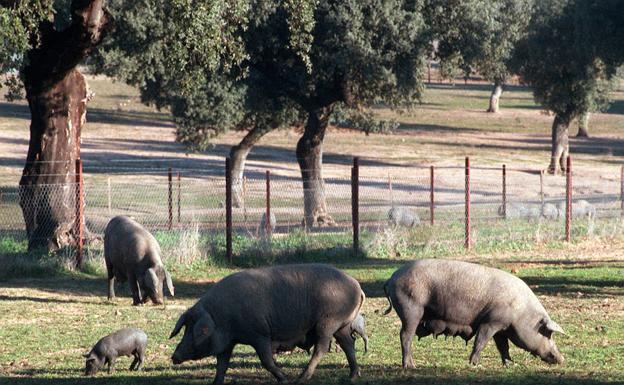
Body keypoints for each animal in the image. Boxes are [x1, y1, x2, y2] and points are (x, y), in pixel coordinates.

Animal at [171, 264, 366, 384]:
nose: (174, 357)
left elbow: (266, 361)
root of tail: (356, 285)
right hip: (341, 326)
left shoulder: (260, 334)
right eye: (185, 329)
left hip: (328, 322)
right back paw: (352, 377)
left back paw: (300, 379)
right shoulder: (228, 342)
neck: (221, 317)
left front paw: (284, 380)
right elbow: (221, 365)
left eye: (194, 331)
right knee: (349, 344)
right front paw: (215, 383)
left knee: (322, 348)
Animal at [382, 258, 568, 366]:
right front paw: (474, 364)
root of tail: (392, 278)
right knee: (405, 335)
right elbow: (481, 341)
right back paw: (410, 366)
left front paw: (510, 364)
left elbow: (503, 347)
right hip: (411, 309)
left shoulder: (502, 328)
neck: (522, 312)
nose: (562, 359)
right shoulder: (491, 322)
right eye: (547, 333)